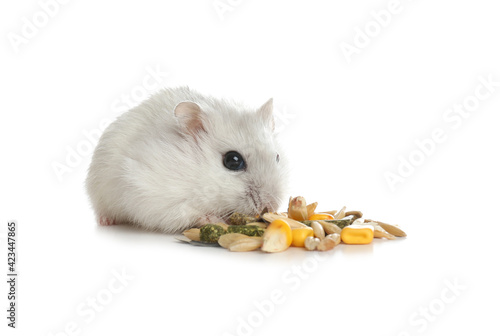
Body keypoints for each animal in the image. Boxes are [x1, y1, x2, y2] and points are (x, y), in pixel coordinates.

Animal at [86, 86, 290, 234]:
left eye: (277, 157)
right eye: (233, 161)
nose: (270, 206)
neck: (198, 174)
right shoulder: (149, 192)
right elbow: (186, 211)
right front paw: (215, 219)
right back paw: (106, 221)